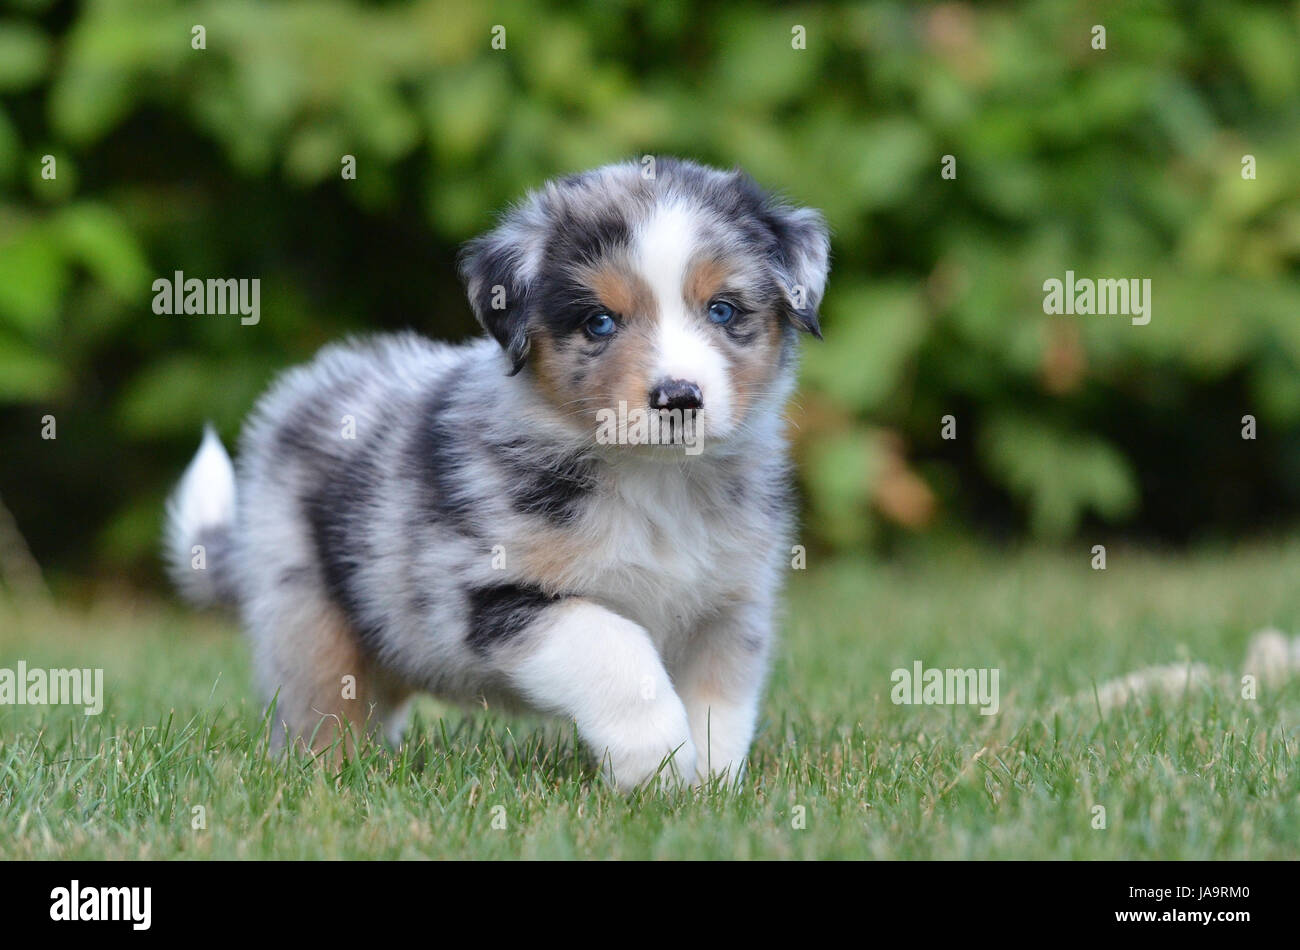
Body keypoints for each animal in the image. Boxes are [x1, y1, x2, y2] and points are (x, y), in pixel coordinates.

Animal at [165, 155, 832, 790]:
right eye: (599, 322)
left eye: (722, 310)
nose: (679, 398)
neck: (655, 478)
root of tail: (307, 386)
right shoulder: (487, 591)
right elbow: (617, 649)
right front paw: (655, 764)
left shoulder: (729, 608)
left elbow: (719, 706)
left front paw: (708, 789)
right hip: (306, 614)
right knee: (320, 713)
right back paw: (325, 778)